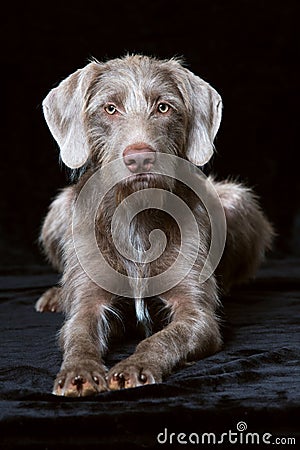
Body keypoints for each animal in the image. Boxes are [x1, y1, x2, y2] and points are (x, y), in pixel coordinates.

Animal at [35, 54, 274, 396]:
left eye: (163, 107)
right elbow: (79, 333)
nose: (139, 157)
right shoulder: (87, 304)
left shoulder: (196, 316)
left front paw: (135, 366)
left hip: (238, 200)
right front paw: (79, 371)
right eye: (110, 108)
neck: (134, 211)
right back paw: (56, 295)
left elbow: (164, 337)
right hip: (58, 210)